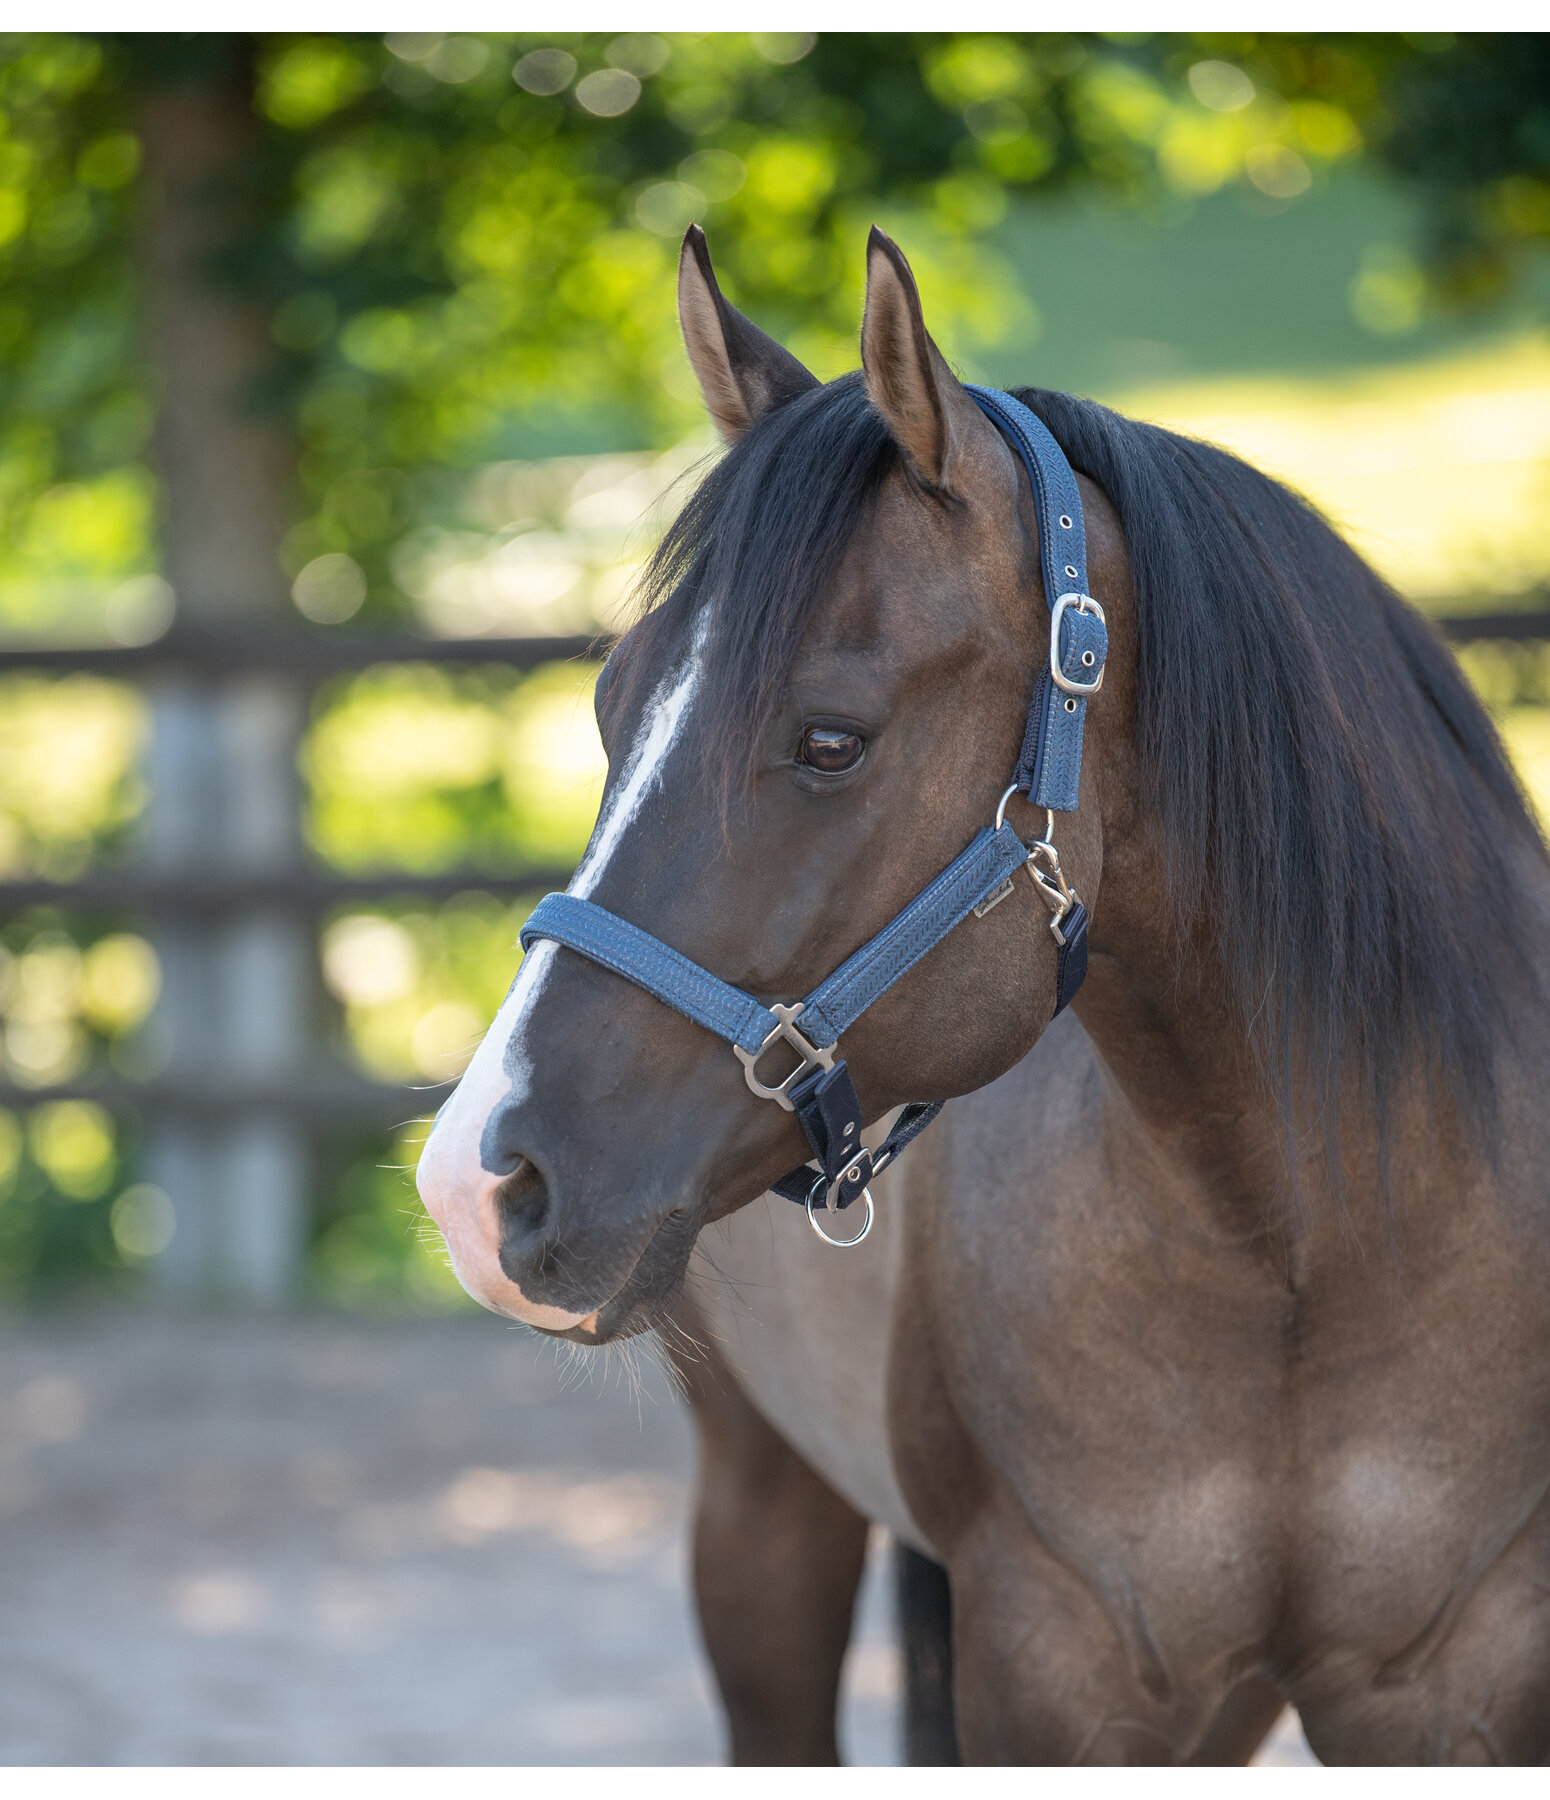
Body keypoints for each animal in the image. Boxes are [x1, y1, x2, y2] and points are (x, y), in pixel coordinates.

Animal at [417, 221, 1548, 1756]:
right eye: (604, 713)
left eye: (831, 741)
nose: (476, 1184)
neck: (1309, 1250)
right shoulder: (1054, 1663)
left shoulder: (1451, 1687)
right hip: (763, 1502)